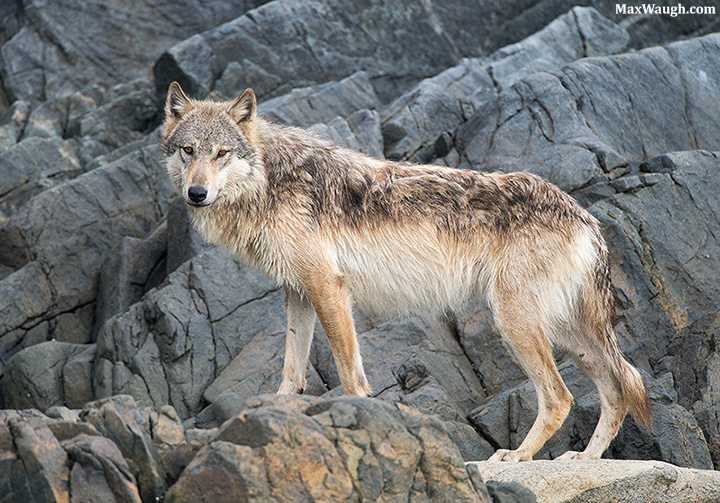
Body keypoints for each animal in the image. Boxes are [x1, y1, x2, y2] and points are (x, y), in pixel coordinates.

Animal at [160, 82, 651, 462]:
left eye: (222, 153)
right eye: (189, 151)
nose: (196, 193)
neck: (268, 181)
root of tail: (585, 217)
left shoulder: (328, 287)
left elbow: (350, 376)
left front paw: (364, 421)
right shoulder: (298, 292)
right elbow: (292, 374)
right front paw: (273, 414)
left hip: (516, 324)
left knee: (561, 397)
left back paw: (518, 457)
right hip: (566, 333)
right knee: (621, 384)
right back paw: (585, 459)